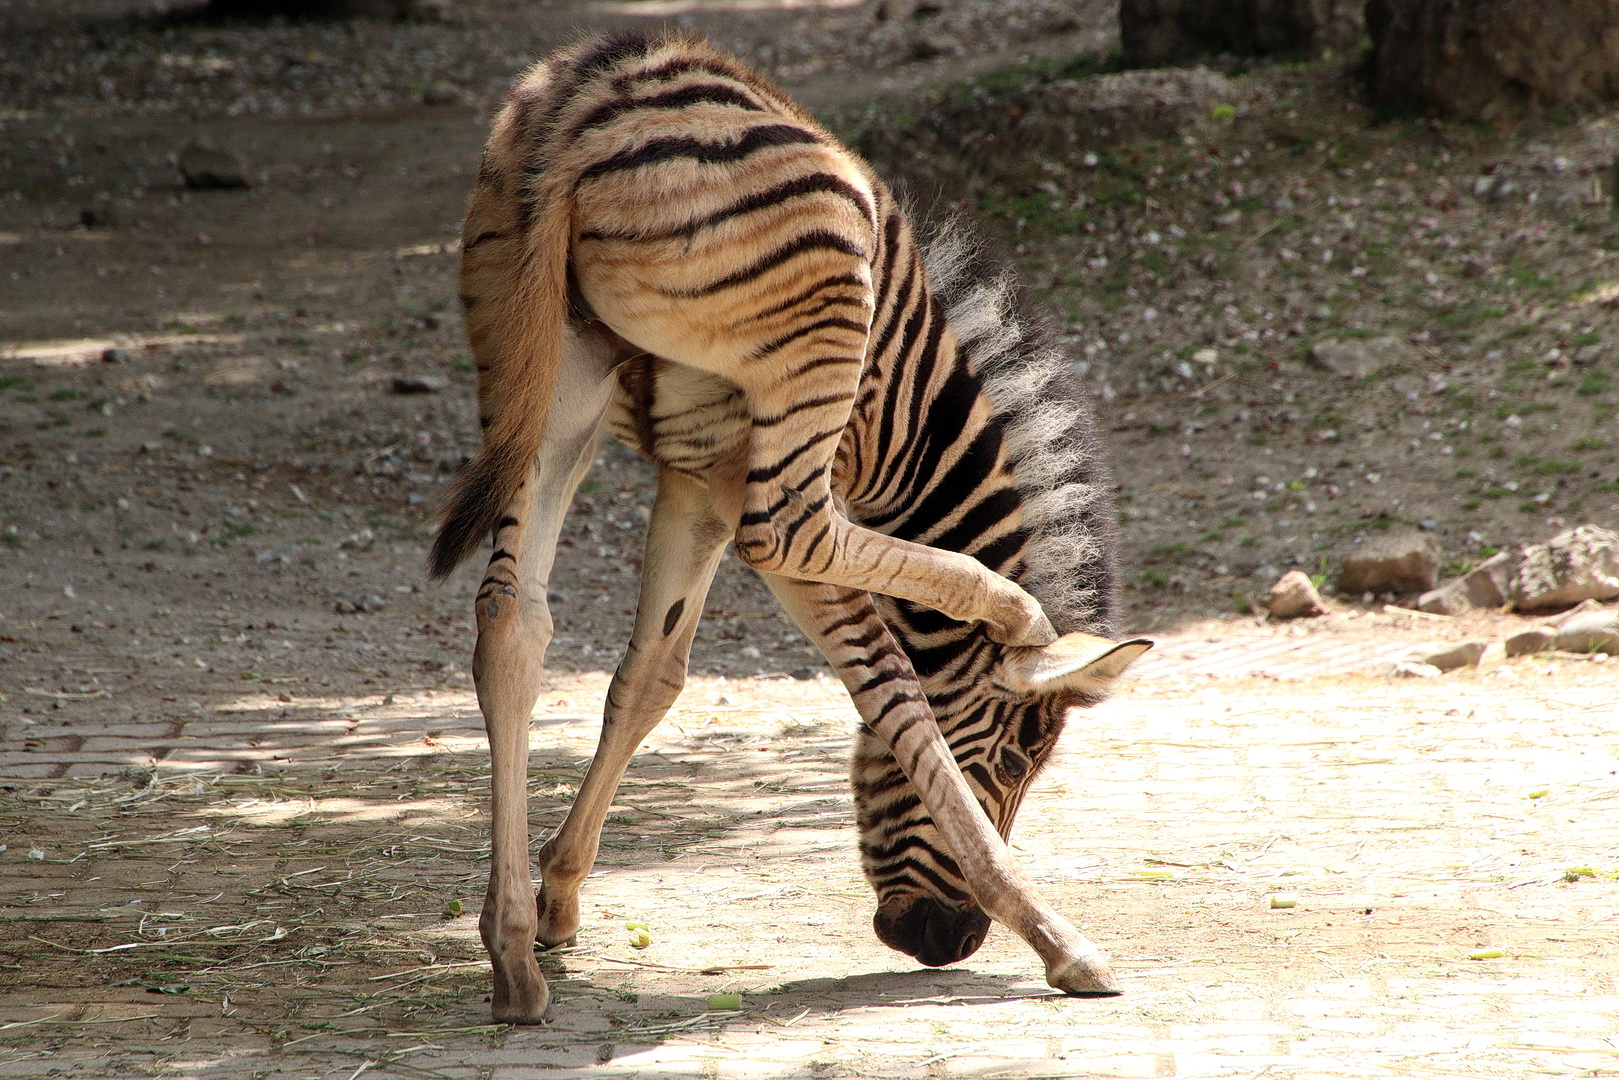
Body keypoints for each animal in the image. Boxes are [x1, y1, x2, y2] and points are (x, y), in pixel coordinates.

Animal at [430, 31, 1152, 1023]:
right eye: (1014, 760)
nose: (942, 943)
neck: (912, 428)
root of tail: (593, 105)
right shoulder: (753, 478)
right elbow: (894, 697)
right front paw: (1055, 938)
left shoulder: (699, 479)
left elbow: (650, 679)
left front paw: (559, 898)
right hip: (800, 364)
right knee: (791, 532)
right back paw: (1010, 608)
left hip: (547, 378)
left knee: (512, 617)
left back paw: (510, 959)